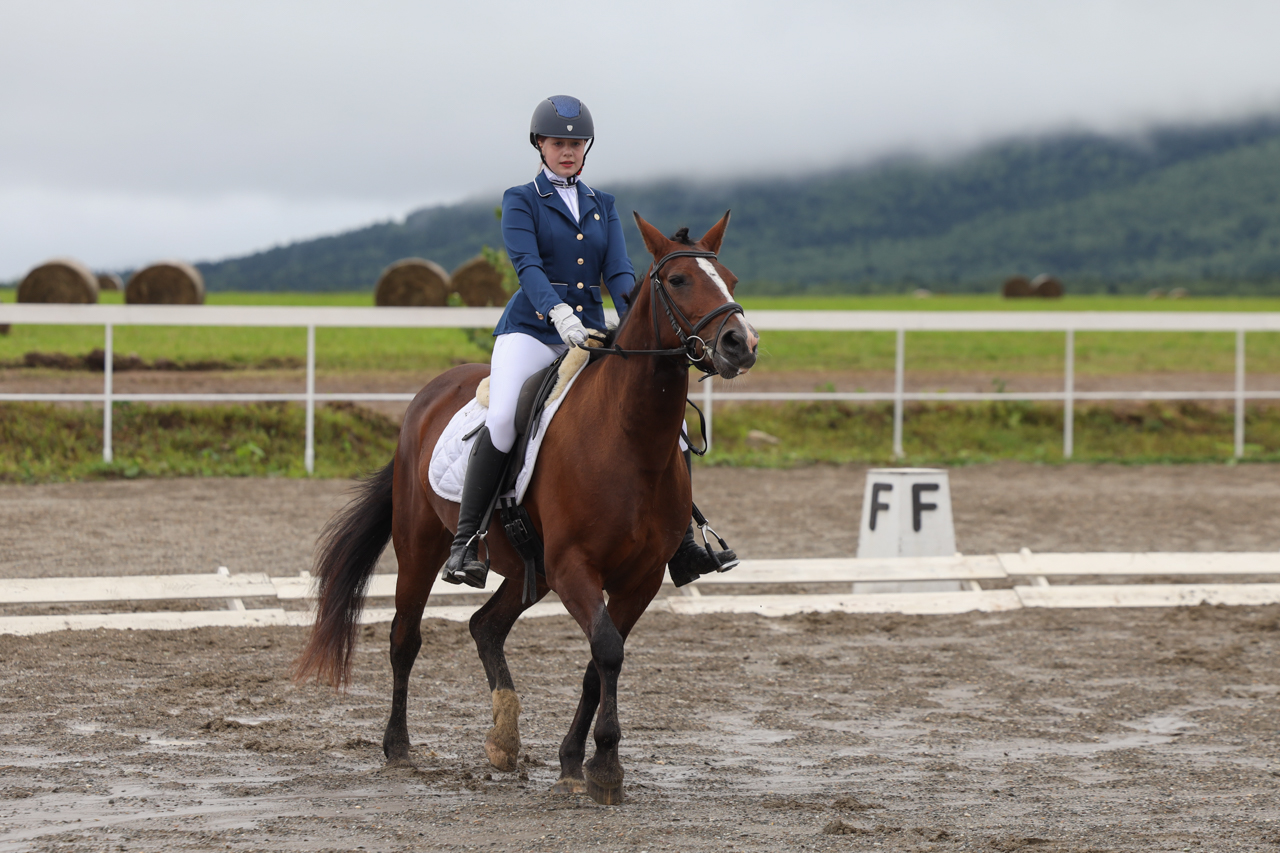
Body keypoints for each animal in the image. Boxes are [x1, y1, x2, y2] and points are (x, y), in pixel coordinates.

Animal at [296, 208, 757, 799]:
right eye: (678, 280)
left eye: (733, 280)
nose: (741, 344)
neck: (628, 438)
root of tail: (429, 395)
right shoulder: (574, 566)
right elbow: (607, 649)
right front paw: (605, 766)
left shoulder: (641, 577)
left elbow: (598, 662)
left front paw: (574, 761)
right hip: (421, 545)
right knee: (405, 637)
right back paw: (398, 746)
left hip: (525, 568)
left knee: (485, 626)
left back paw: (503, 740)